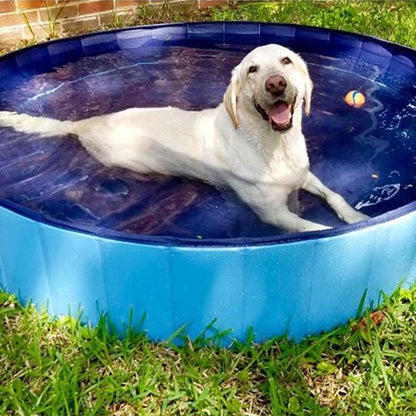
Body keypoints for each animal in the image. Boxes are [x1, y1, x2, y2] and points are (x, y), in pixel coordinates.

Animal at [0, 44, 368, 232]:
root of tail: (87, 123)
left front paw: (356, 217)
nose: (275, 83)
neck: (274, 145)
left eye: (286, 60)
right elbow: (315, 230)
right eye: (253, 70)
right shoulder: (272, 214)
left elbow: (334, 195)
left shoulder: (302, 175)